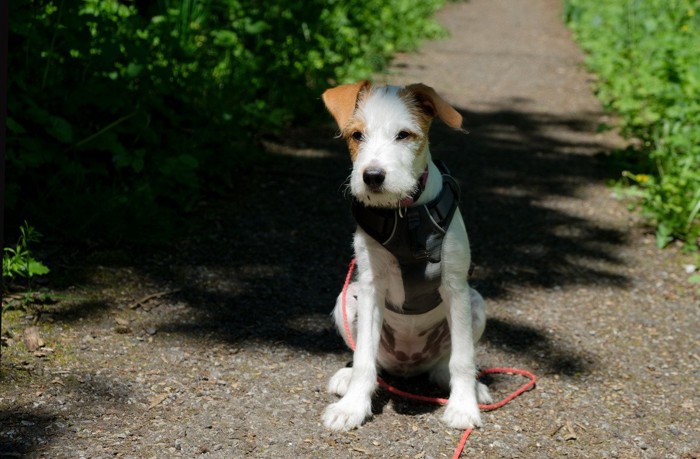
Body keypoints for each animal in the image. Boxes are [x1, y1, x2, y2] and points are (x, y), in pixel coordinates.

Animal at [320, 82, 490, 432]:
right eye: (356, 135)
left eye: (404, 135)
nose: (372, 176)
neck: (404, 214)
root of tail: (407, 365)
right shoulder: (370, 287)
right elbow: (364, 360)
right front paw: (352, 407)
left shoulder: (455, 288)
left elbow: (463, 358)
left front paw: (463, 407)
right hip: (347, 298)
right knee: (370, 359)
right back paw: (347, 378)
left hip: (475, 302)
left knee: (446, 362)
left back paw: (466, 385)